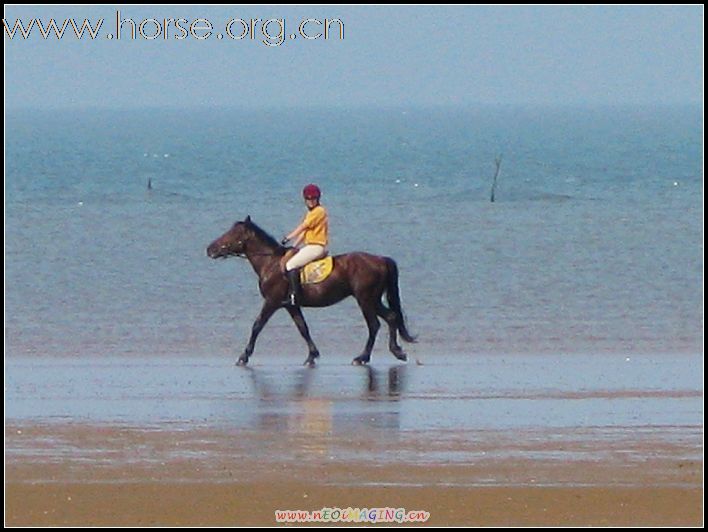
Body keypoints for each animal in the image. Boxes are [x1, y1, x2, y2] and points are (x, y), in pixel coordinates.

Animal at [205, 216, 414, 366]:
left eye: (232, 234)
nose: (209, 249)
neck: (271, 263)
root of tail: (380, 259)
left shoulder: (272, 302)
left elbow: (257, 325)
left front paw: (244, 356)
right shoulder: (291, 305)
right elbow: (303, 328)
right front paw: (312, 355)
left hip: (365, 299)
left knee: (374, 325)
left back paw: (362, 357)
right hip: (373, 299)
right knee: (391, 317)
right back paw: (397, 351)